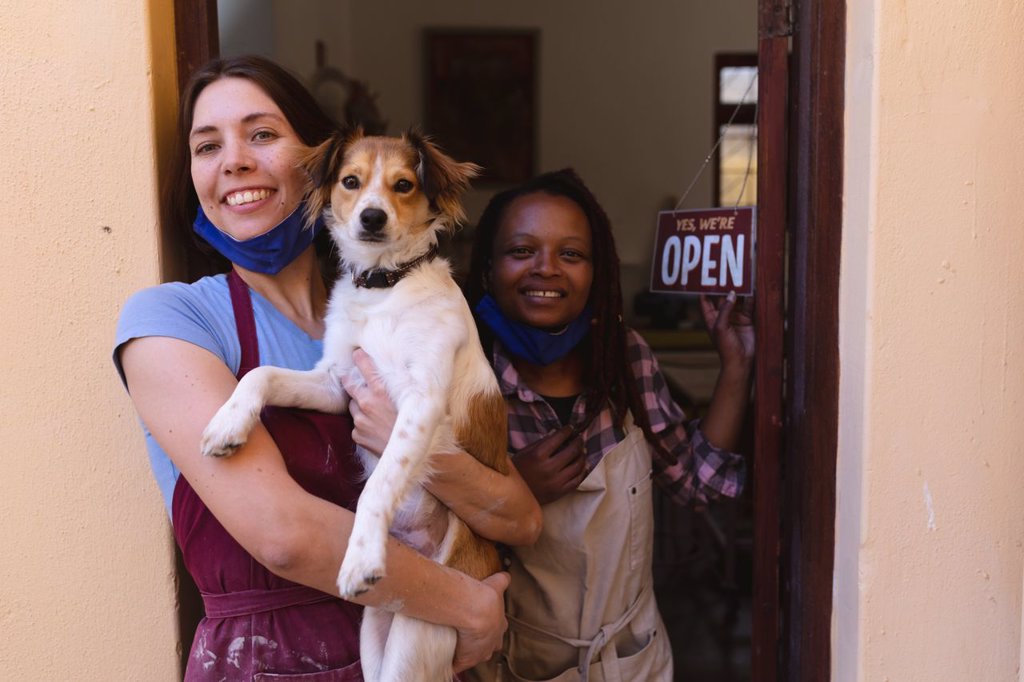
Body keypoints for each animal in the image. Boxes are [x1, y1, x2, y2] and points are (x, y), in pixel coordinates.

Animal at [199, 129, 507, 679]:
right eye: (350, 181)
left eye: (404, 185)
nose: (372, 217)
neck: (384, 287)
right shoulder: (336, 383)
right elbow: (261, 373)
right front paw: (228, 423)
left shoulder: (420, 401)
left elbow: (379, 483)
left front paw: (361, 556)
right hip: (375, 634)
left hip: (419, 631)